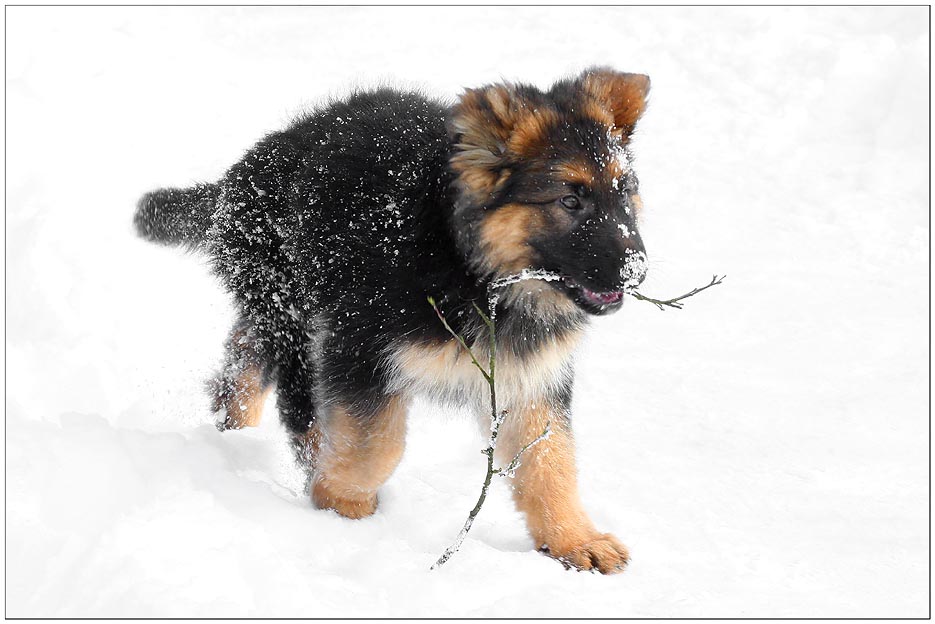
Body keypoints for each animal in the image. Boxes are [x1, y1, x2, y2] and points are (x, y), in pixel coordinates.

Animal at [135, 67, 652, 572]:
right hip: (291, 314)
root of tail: (242, 173)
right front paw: (341, 504)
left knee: (243, 355)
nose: (638, 271)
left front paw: (573, 539)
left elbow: (550, 461)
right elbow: (377, 444)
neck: (470, 268)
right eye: (569, 201)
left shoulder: (529, 376)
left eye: (626, 194)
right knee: (296, 403)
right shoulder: (359, 347)